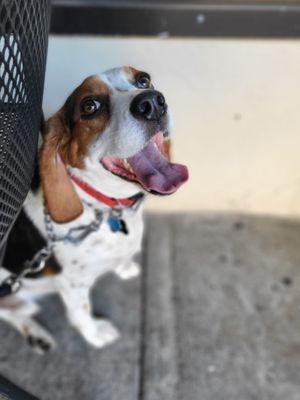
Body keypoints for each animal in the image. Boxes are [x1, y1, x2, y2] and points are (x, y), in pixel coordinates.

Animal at [0, 66, 188, 354]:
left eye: (143, 79)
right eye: (90, 106)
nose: (153, 103)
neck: (105, 209)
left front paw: (125, 267)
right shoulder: (73, 283)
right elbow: (80, 312)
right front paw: (96, 334)